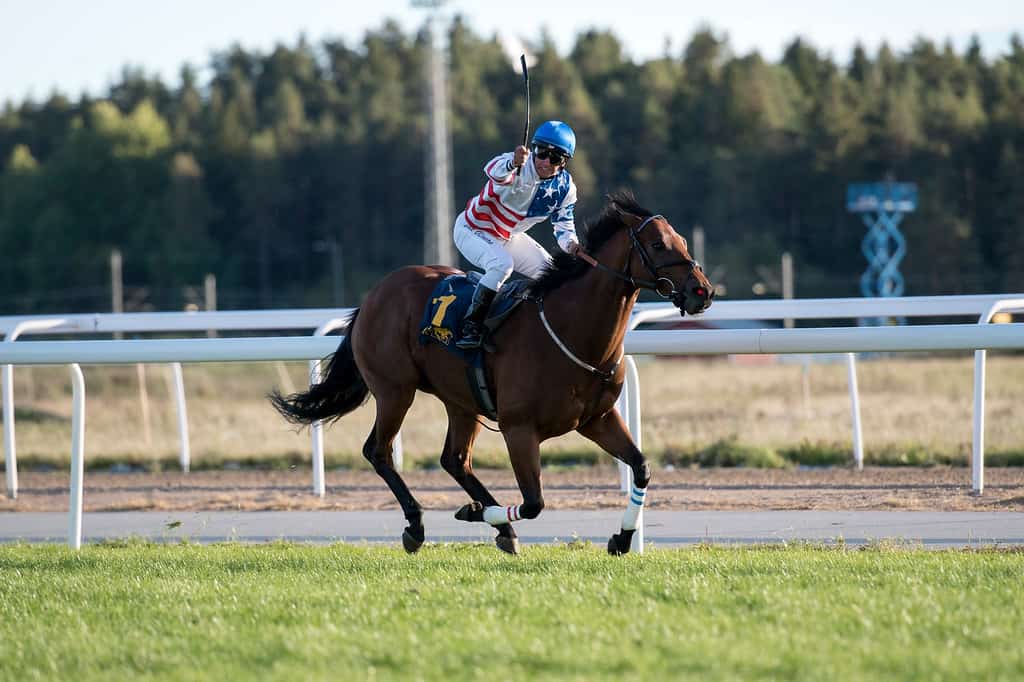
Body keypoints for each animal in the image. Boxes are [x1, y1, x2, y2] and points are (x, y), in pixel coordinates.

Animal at [276, 191, 716, 552]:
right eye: (658, 244)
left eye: (683, 240)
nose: (703, 292)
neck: (571, 331)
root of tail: (372, 296)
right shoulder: (519, 429)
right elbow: (535, 502)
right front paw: (472, 513)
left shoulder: (598, 418)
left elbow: (641, 468)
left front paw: (622, 538)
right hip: (394, 390)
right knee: (378, 450)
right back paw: (418, 525)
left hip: (460, 400)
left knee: (455, 459)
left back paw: (500, 528)